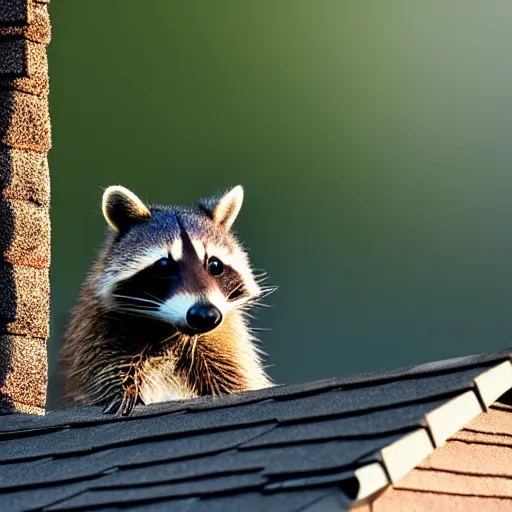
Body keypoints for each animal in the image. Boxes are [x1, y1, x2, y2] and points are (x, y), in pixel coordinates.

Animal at [60, 185, 274, 416]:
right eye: (164, 266)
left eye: (215, 265)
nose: (205, 314)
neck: (169, 331)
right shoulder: (98, 331)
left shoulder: (223, 339)